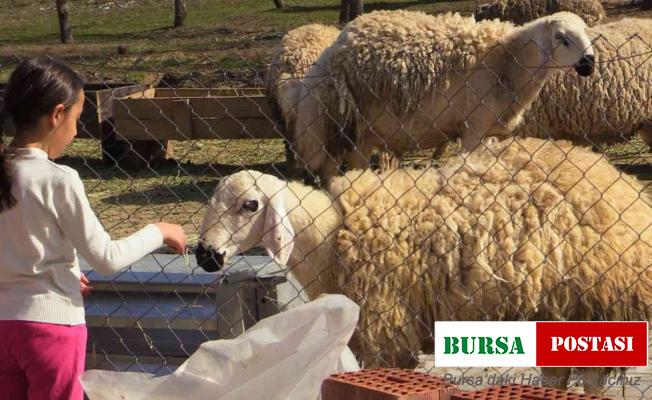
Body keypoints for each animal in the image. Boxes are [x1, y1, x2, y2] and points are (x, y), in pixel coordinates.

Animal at [197, 138, 652, 394]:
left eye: (250, 205)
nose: (204, 254)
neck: (331, 235)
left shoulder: (386, 330)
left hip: (589, 302)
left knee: (586, 377)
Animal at [294, 10, 596, 183]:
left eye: (586, 33)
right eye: (561, 38)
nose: (589, 64)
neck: (509, 61)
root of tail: (332, 51)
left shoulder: (492, 130)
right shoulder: (473, 128)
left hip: (356, 132)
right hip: (348, 126)